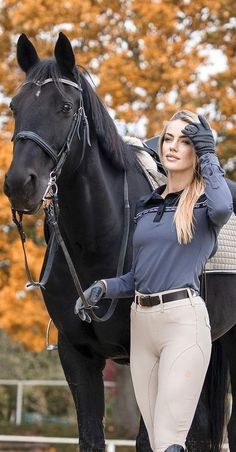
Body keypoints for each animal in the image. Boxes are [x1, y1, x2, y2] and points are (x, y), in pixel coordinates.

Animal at [3, 33, 236, 450]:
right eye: (15, 106)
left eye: (65, 107)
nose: (19, 184)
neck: (98, 239)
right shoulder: (76, 356)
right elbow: (91, 437)